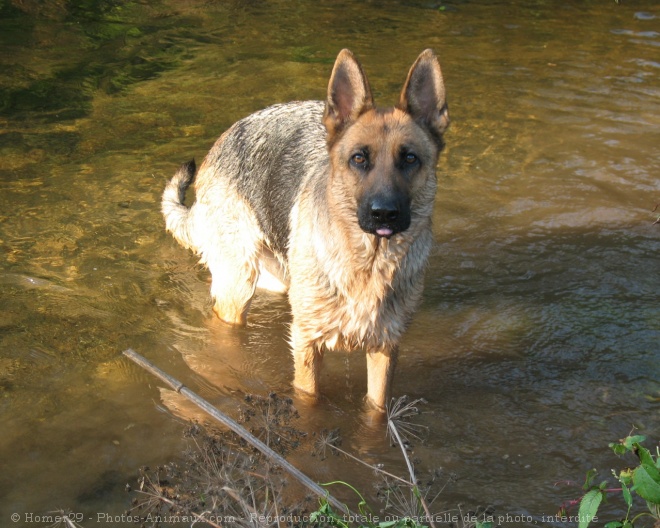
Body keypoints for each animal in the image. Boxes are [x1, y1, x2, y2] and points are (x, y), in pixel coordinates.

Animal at [162, 49, 448, 410]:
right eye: (359, 159)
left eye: (410, 159)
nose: (384, 213)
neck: (367, 263)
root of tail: (224, 137)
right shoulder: (307, 343)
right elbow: (309, 400)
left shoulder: (385, 349)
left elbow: (376, 410)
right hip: (237, 287)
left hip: (276, 279)